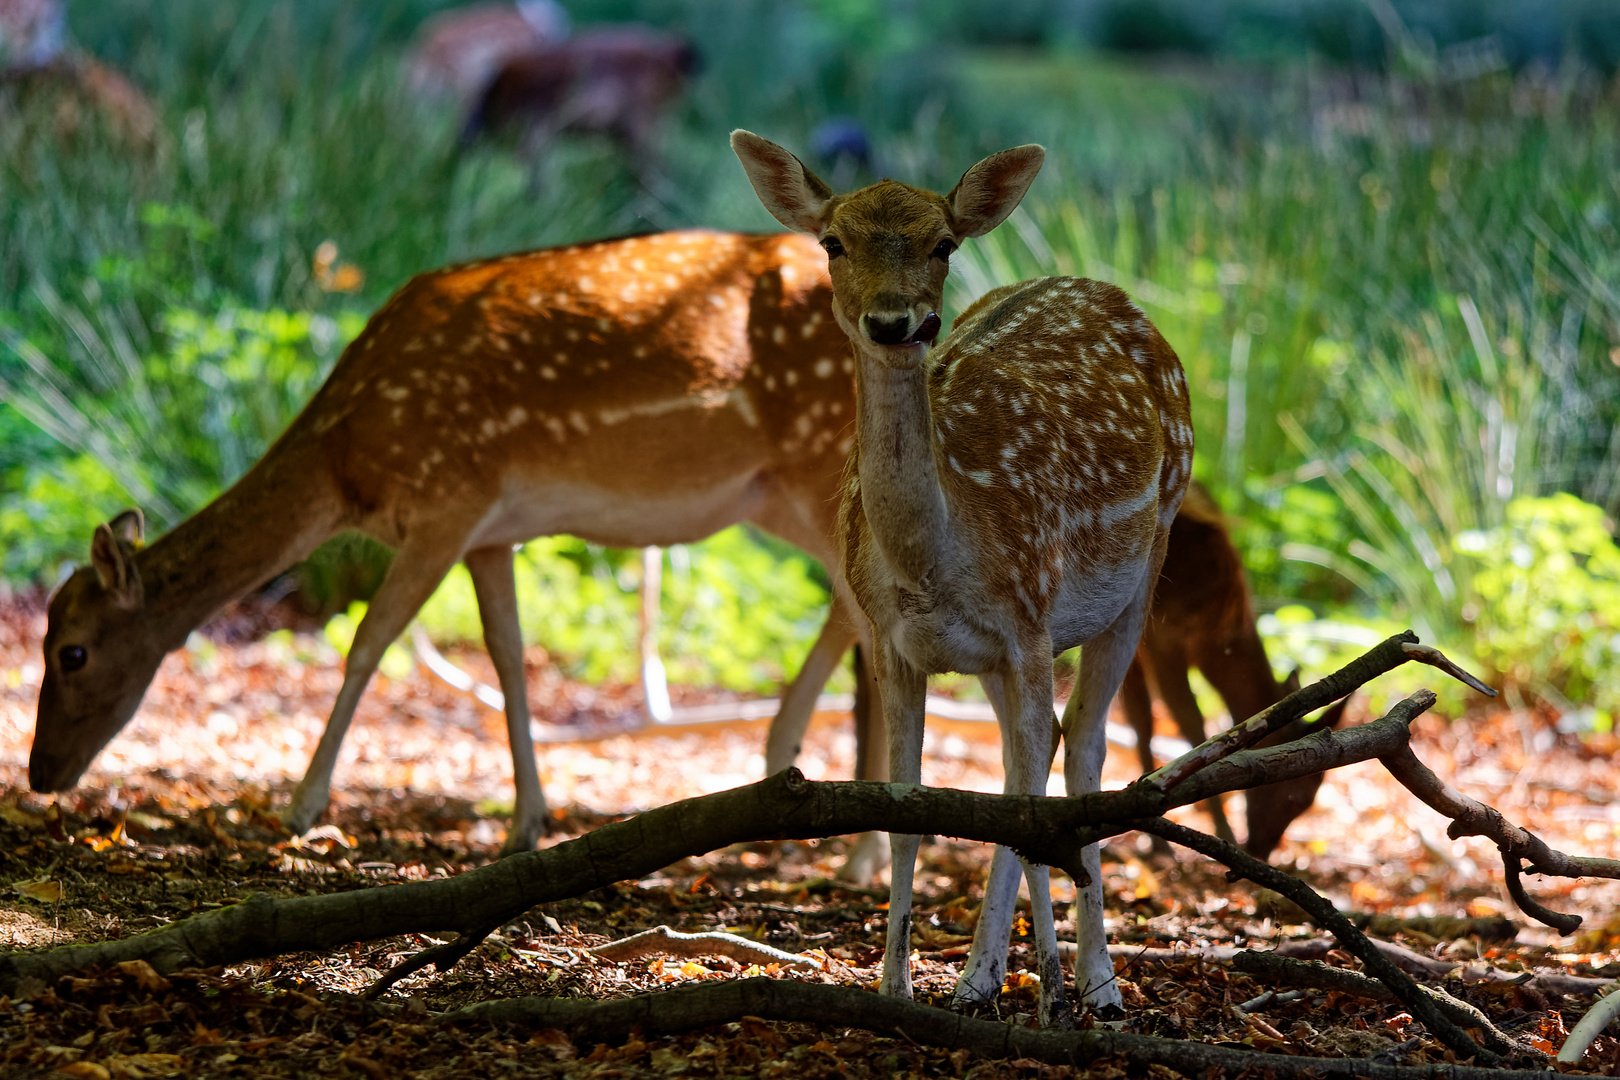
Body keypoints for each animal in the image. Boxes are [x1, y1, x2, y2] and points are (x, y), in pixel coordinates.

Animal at [31, 229, 868, 854]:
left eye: (72, 651)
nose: (40, 774)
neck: (344, 464)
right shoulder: (490, 535)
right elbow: (508, 657)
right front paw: (527, 823)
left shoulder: (447, 498)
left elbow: (367, 642)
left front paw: (301, 808)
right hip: (777, 493)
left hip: (817, 457)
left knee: (864, 612)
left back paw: (806, 781)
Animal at [732, 131, 1192, 1029]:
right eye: (831, 241)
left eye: (943, 242)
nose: (894, 321)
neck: (933, 562)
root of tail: (1117, 295)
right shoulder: (895, 642)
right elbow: (908, 812)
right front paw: (897, 989)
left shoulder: (1030, 619)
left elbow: (1033, 808)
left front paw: (1054, 1000)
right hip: (997, 658)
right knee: (1028, 765)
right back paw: (982, 978)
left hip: (1149, 554)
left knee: (1079, 751)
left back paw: (1099, 986)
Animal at [1121, 482, 1347, 861]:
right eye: (1298, 796)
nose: (1260, 850)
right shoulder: (1161, 638)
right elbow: (1191, 723)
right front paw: (1215, 832)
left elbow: (1138, 720)